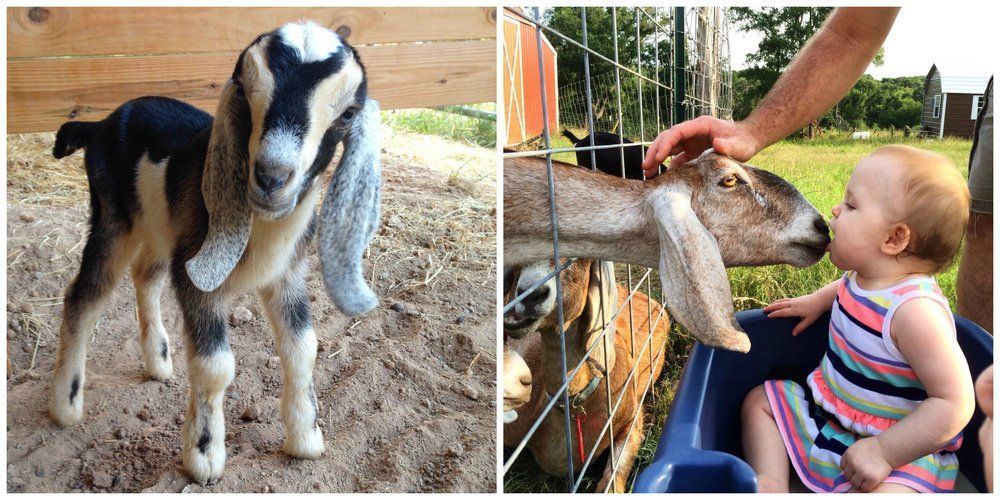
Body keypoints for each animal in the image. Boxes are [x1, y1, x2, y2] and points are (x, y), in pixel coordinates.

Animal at [47, 22, 380, 485]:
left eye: (348, 113)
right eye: (243, 87)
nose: (271, 178)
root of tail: (99, 125)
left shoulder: (286, 275)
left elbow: (302, 348)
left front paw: (306, 438)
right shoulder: (197, 277)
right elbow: (215, 366)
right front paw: (203, 456)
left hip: (161, 227)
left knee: (145, 274)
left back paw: (159, 360)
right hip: (114, 217)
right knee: (84, 296)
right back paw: (65, 404)